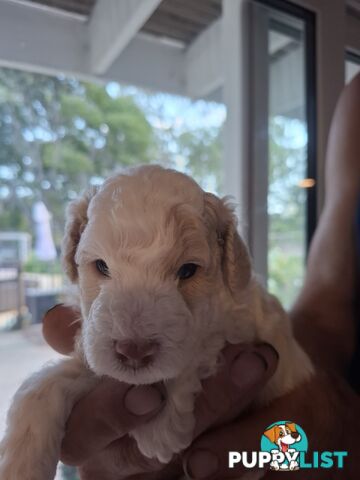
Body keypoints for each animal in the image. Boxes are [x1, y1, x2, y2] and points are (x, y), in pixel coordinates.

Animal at [0, 165, 312, 480]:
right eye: (101, 266)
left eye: (187, 271)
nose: (133, 352)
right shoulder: (94, 348)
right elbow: (43, 386)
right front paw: (20, 465)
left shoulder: (241, 323)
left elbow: (200, 347)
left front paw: (158, 428)